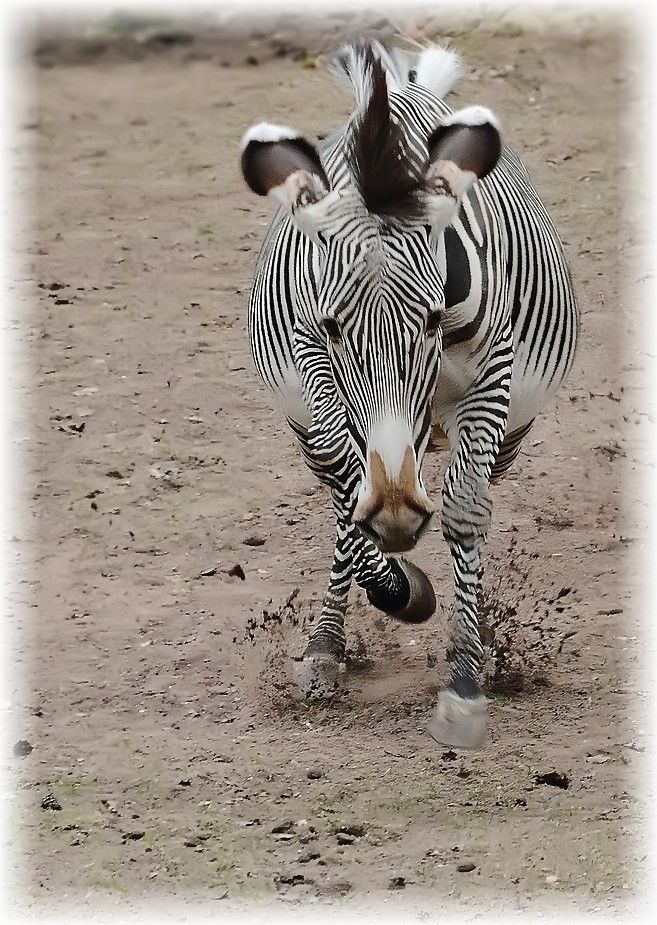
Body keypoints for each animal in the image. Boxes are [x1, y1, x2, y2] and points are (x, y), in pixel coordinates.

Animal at [238, 39, 576, 748]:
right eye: (336, 326)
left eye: (433, 318)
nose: (396, 513)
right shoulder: (311, 360)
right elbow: (349, 489)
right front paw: (398, 592)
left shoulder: (492, 376)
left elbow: (467, 513)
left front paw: (466, 678)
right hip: (306, 424)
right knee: (341, 491)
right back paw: (327, 647)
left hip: (510, 429)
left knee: (473, 500)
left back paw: (481, 640)